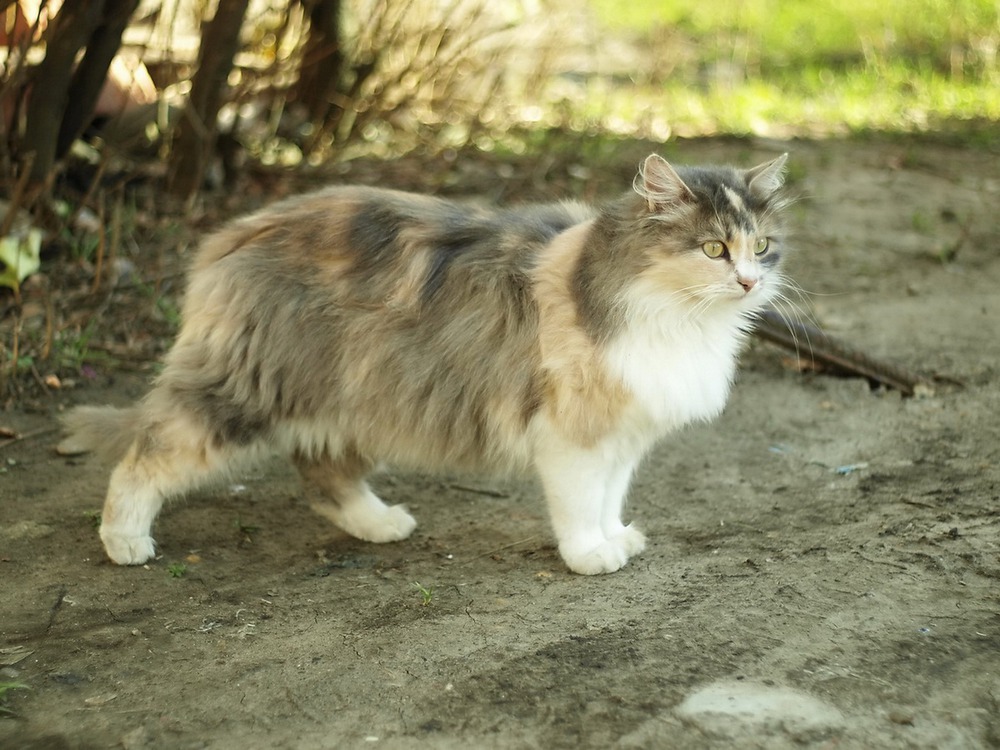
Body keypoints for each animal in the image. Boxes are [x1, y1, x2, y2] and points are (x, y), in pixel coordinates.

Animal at [58, 151, 792, 576]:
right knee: (146, 456)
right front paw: (591, 555)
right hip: (248, 391)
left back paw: (379, 524)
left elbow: (611, 497)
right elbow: (582, 504)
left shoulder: (622, 435)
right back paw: (123, 540)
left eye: (761, 246)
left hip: (357, 396)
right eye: (712, 248)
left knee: (322, 473)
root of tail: (233, 233)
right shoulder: (574, 435)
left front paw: (617, 538)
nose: (749, 282)